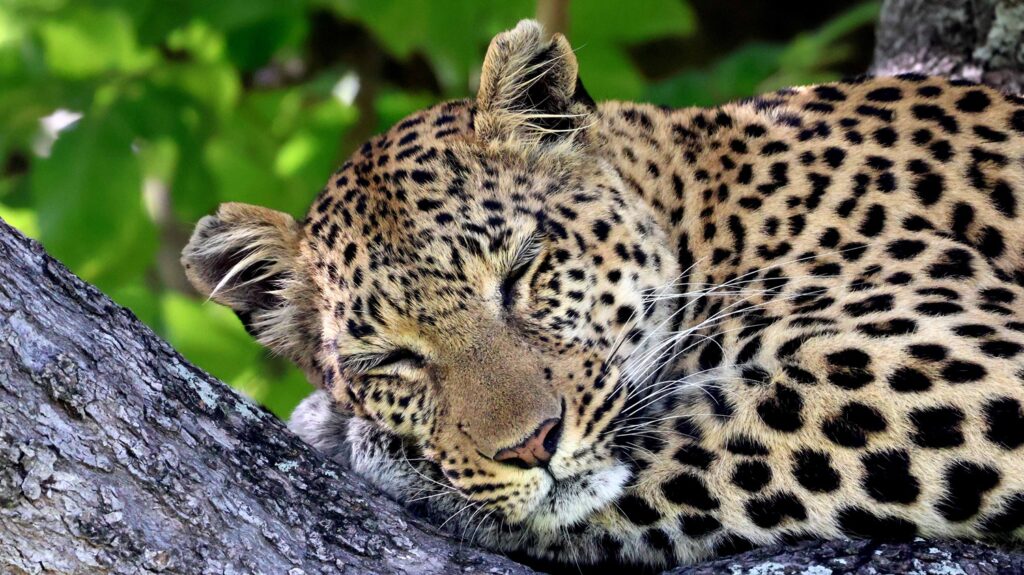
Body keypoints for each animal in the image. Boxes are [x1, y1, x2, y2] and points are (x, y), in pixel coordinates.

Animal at [181, 19, 1024, 572]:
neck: (710, 208)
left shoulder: (958, 365)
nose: (531, 445)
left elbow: (689, 446)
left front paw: (370, 450)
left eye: (522, 271)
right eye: (390, 361)